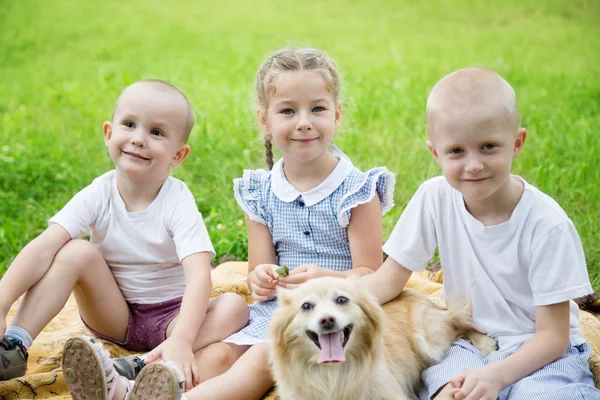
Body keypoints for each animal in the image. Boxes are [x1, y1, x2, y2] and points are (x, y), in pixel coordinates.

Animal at [270, 276, 494, 400]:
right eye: (306, 306)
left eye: (341, 300)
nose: (327, 320)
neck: (333, 375)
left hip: (429, 339)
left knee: (458, 323)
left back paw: (483, 342)